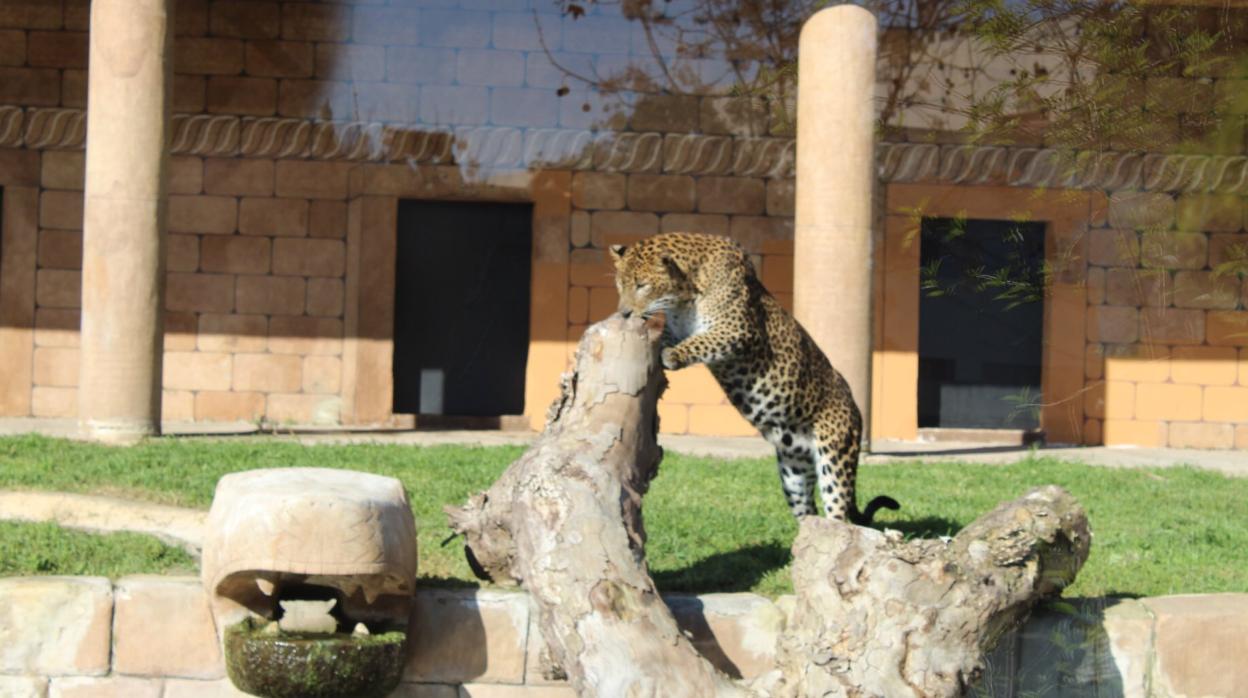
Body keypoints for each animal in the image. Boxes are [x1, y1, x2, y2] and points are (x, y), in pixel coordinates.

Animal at [606, 233, 893, 524]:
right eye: (619, 284)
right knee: (808, 515)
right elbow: (674, 335)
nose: (623, 313)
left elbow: (702, 342)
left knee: (838, 515)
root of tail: (858, 412)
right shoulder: (680, 328)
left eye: (642, 285)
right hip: (794, 473)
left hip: (835, 458)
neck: (685, 293)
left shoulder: (738, 330)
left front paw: (673, 355)